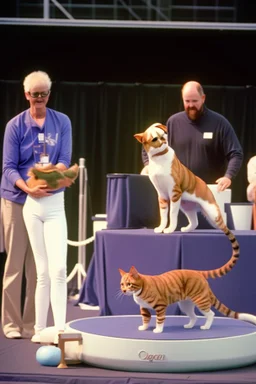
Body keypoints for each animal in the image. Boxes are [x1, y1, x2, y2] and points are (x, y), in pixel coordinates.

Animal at [119, 266, 256, 332]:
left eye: (129, 284)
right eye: (122, 284)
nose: (124, 291)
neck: (139, 291)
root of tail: (198, 273)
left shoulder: (160, 306)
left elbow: (159, 319)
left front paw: (158, 330)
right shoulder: (144, 308)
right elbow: (146, 319)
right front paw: (144, 328)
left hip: (201, 301)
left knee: (210, 314)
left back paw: (206, 327)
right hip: (186, 305)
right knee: (194, 316)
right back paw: (189, 326)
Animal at [134, 122, 240, 270]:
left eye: (164, 134)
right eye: (155, 139)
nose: (163, 140)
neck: (160, 158)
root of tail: (206, 186)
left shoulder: (174, 193)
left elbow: (172, 215)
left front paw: (169, 229)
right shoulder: (162, 195)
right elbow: (163, 215)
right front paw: (161, 228)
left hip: (211, 212)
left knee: (223, 223)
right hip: (187, 207)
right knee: (195, 222)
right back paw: (187, 229)